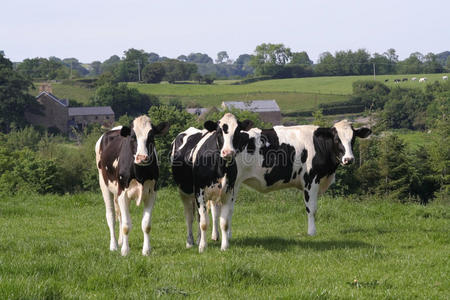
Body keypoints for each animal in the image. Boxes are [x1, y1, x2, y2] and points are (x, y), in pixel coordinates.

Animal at [96, 115, 170, 255]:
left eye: (151, 136)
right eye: (133, 137)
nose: (142, 157)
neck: (139, 173)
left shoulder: (151, 193)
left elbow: (146, 225)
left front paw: (146, 250)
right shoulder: (123, 193)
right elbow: (126, 225)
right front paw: (125, 251)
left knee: (119, 215)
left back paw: (120, 241)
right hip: (104, 185)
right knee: (111, 216)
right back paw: (114, 245)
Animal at [171, 115, 370, 253]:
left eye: (353, 139)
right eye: (337, 139)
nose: (349, 159)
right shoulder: (310, 180)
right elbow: (311, 209)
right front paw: (312, 233)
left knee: (218, 212)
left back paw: (218, 237)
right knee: (199, 213)